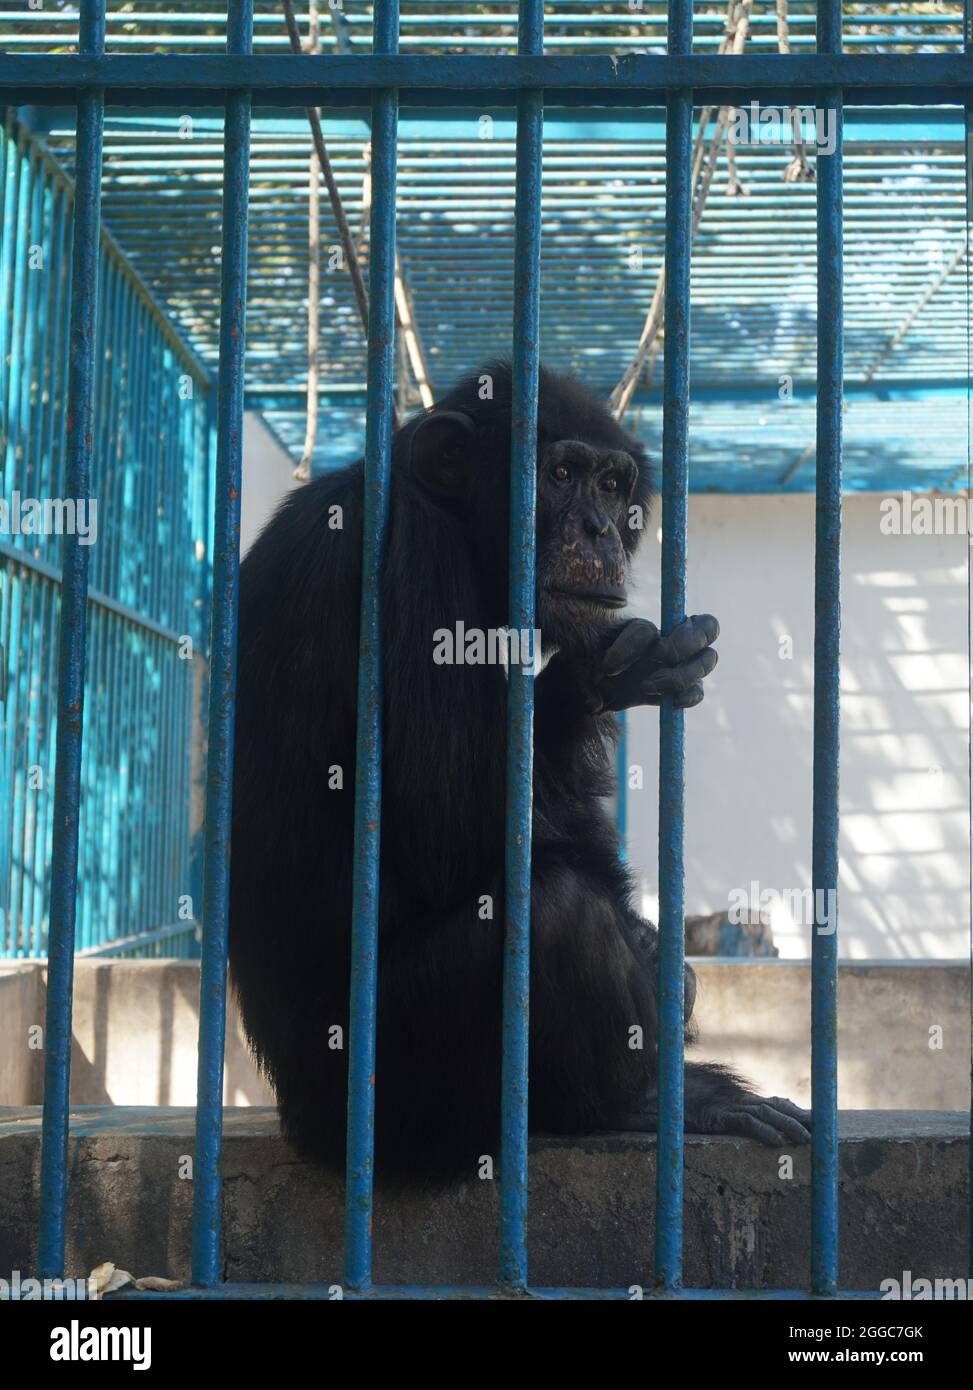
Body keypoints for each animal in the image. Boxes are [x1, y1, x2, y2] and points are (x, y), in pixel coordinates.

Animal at [226, 361, 806, 1184]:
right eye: (560, 475)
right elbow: (448, 823)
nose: (599, 529)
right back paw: (648, 1100)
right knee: (554, 911)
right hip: (383, 1094)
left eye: (612, 485)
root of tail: (292, 1121)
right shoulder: (408, 557)